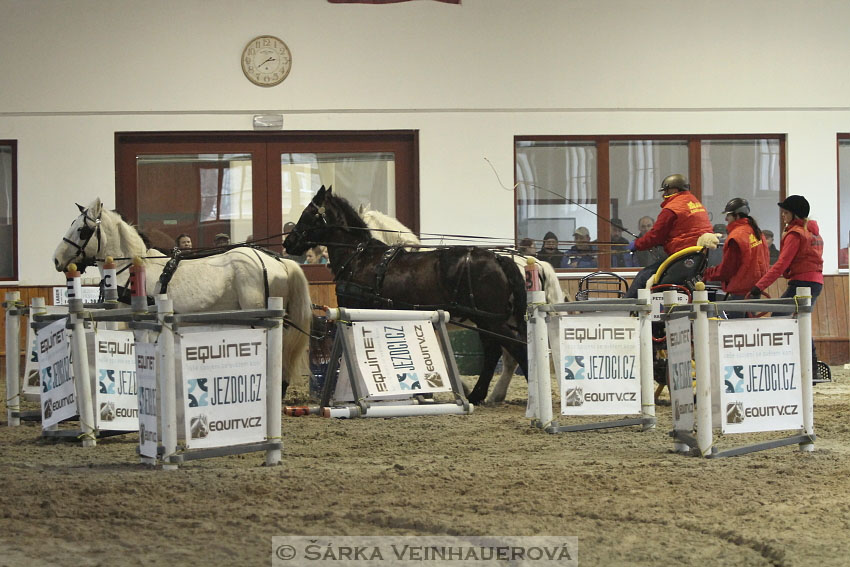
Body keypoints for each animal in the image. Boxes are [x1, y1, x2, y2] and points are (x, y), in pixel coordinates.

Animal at [282, 186, 528, 404]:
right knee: (495, 351)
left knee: (514, 347)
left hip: (491, 319)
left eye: (308, 213)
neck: (360, 258)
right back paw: (478, 395)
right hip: (486, 320)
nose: (288, 243)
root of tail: (498, 259)